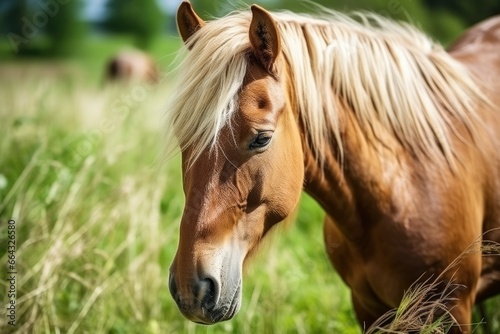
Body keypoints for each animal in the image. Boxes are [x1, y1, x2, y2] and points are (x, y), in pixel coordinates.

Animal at [167, 1, 500, 332]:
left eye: (262, 139)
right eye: (183, 137)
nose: (191, 288)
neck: (402, 183)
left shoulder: (451, 310)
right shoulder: (367, 307)